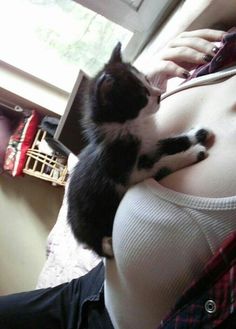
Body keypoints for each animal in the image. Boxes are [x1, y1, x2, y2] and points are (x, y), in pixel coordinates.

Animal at [67, 42, 211, 256]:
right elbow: (161, 163)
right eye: (143, 95)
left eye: (147, 79)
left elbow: (169, 143)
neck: (130, 125)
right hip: (87, 218)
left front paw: (197, 134)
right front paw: (192, 153)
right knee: (96, 244)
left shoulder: (150, 144)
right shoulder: (126, 172)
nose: (159, 95)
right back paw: (107, 245)